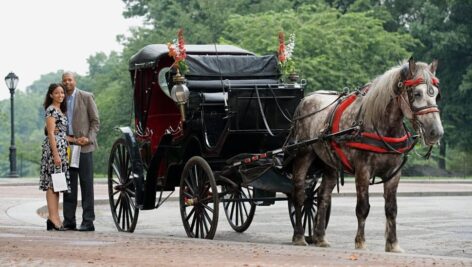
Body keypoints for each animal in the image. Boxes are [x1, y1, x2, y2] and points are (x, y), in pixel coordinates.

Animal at [290, 58, 444, 253]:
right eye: (417, 94)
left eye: (437, 95)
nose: (436, 132)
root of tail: (306, 98)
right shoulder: (363, 170)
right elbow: (363, 207)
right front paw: (360, 242)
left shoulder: (393, 174)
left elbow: (391, 209)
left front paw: (393, 244)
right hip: (304, 154)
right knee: (299, 193)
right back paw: (299, 236)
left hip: (330, 163)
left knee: (323, 196)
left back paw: (320, 237)